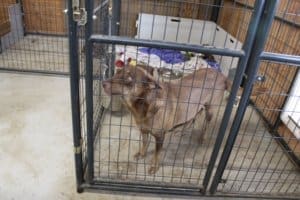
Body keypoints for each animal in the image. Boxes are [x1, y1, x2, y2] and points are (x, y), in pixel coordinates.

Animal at [102, 64, 264, 173]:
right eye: (117, 72)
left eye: (128, 79)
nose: (103, 83)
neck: (145, 104)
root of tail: (222, 75)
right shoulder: (144, 130)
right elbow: (144, 144)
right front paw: (141, 154)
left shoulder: (159, 136)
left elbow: (156, 154)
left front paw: (154, 166)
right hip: (195, 106)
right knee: (193, 116)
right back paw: (182, 130)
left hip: (210, 109)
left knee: (206, 124)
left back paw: (201, 138)